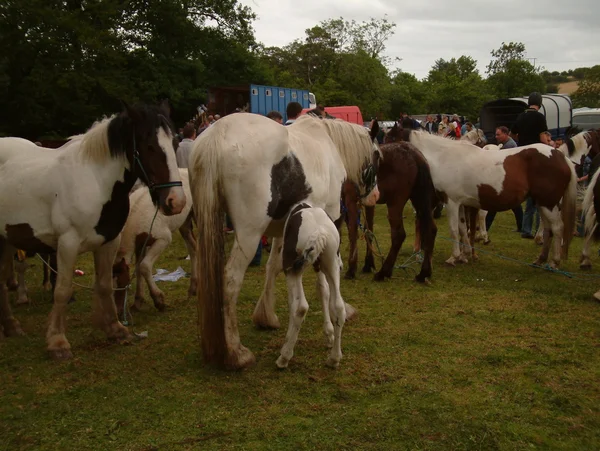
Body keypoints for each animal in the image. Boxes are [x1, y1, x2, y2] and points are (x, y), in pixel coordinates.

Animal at [0, 103, 185, 360]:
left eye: (175, 143)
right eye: (149, 146)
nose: (176, 202)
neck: (95, 181)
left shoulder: (109, 241)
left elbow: (105, 284)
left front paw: (116, 330)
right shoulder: (67, 244)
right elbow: (62, 290)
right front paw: (57, 343)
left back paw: (11, 326)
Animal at [113, 168, 196, 316]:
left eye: (122, 283)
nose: (118, 311)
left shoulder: (163, 239)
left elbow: (144, 266)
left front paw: (159, 300)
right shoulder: (140, 245)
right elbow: (138, 269)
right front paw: (138, 301)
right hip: (185, 224)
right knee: (193, 248)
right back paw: (193, 288)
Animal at [278, 203, 344, 370]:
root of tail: (318, 232)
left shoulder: (292, 270)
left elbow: (293, 303)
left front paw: (287, 339)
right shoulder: (318, 265)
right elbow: (323, 289)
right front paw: (329, 334)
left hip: (293, 270)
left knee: (301, 307)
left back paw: (284, 357)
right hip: (331, 264)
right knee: (339, 307)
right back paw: (334, 358)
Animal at [406, 128, 580, 268]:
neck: (444, 157)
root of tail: (561, 156)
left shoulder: (452, 202)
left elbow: (454, 229)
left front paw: (453, 258)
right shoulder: (461, 204)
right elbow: (463, 229)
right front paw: (464, 255)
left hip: (549, 204)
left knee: (557, 228)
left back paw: (554, 262)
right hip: (543, 204)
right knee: (548, 230)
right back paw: (540, 260)